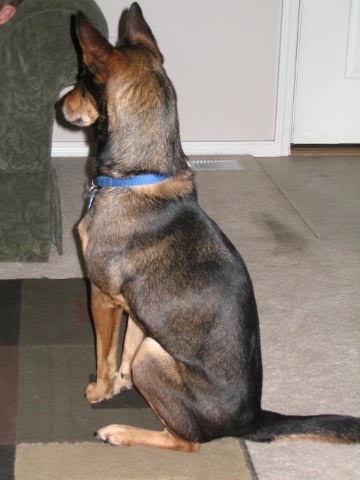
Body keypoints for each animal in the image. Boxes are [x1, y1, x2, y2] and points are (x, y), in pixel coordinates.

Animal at [62, 2, 360, 450]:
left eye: (82, 81)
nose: (59, 104)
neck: (138, 173)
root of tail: (252, 419)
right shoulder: (136, 311)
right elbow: (124, 349)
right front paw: (120, 382)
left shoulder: (101, 296)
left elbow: (104, 354)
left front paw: (100, 390)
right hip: (154, 345)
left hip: (154, 357)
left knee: (186, 441)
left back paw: (121, 431)